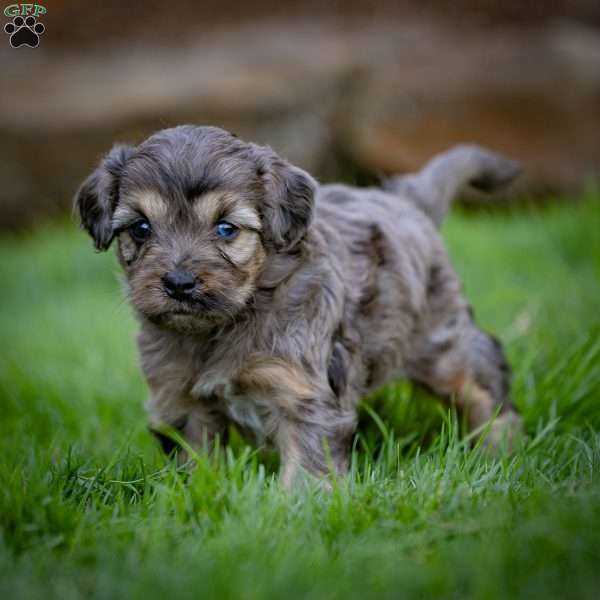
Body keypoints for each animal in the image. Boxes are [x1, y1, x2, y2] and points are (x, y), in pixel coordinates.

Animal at [77, 126, 524, 488]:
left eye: (226, 229)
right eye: (141, 228)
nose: (179, 283)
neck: (231, 319)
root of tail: (408, 202)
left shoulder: (302, 393)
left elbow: (307, 468)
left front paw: (296, 509)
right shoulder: (181, 401)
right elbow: (196, 462)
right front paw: (195, 495)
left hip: (442, 343)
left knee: (482, 380)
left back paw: (498, 445)